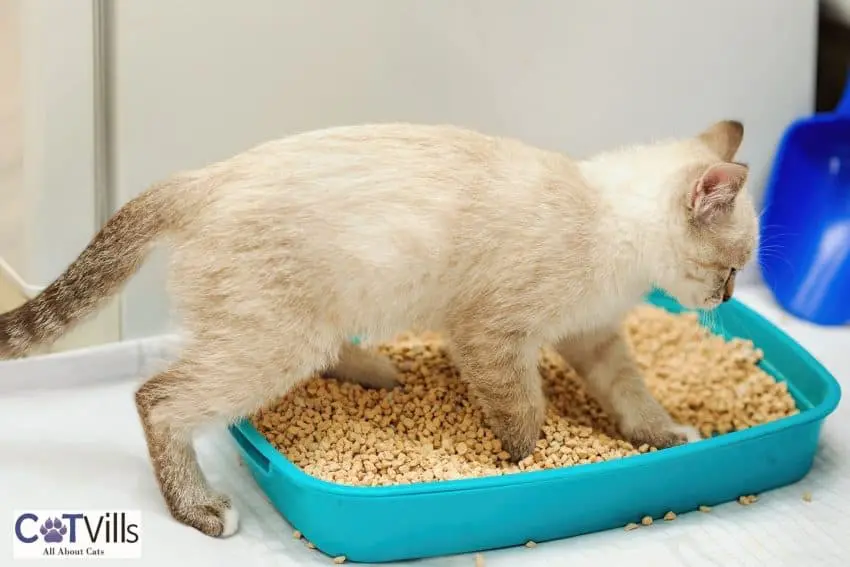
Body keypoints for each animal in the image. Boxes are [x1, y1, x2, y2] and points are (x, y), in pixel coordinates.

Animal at [0, 120, 756, 536]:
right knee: (156, 398)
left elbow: (633, 398)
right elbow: (525, 413)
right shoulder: (493, 337)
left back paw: (379, 373)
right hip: (276, 343)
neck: (611, 227)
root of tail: (199, 178)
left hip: (315, 321)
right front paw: (530, 461)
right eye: (731, 267)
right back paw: (202, 509)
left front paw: (667, 435)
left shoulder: (592, 338)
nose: (727, 295)